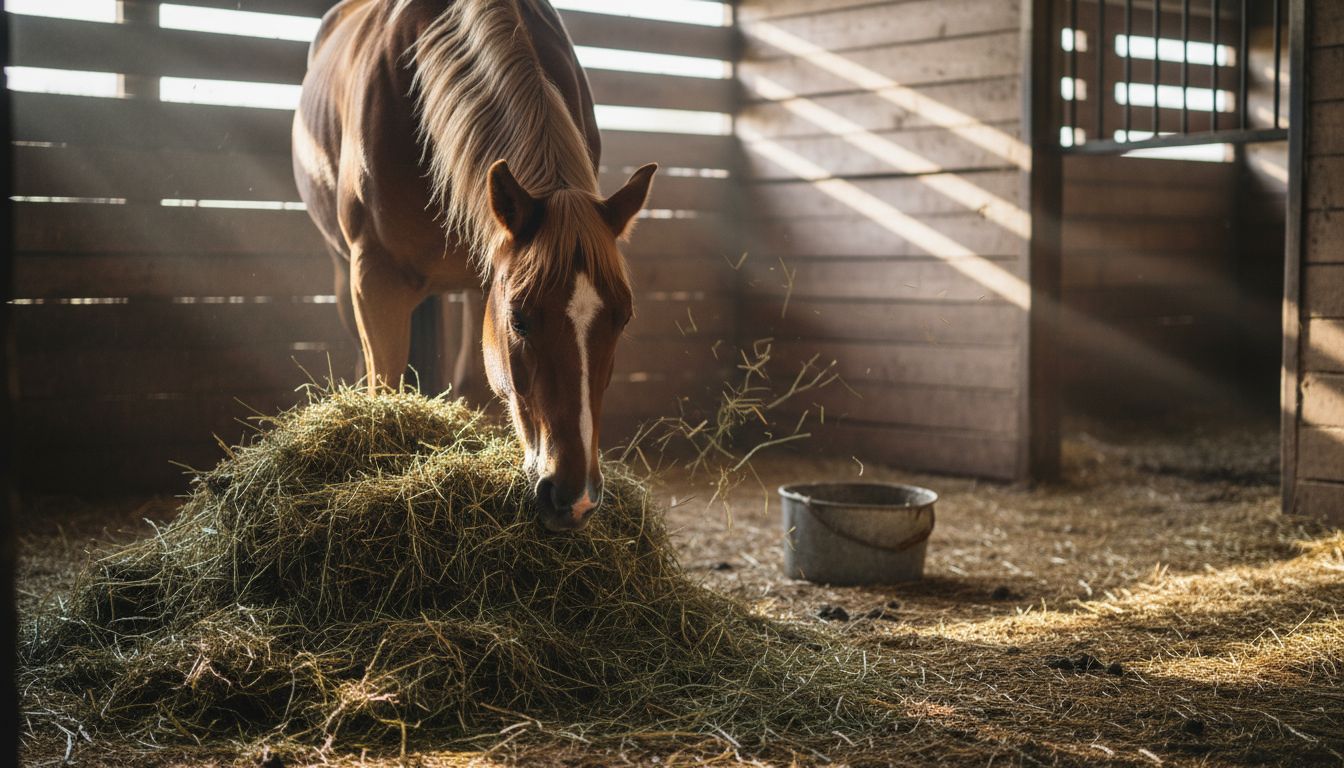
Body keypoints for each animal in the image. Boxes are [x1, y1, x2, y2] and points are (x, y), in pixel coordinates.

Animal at [292, 0, 658, 531]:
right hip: (345, 274)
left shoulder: (486, 285)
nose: (575, 499)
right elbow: (384, 387)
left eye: (624, 318)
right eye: (520, 320)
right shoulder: (375, 279)